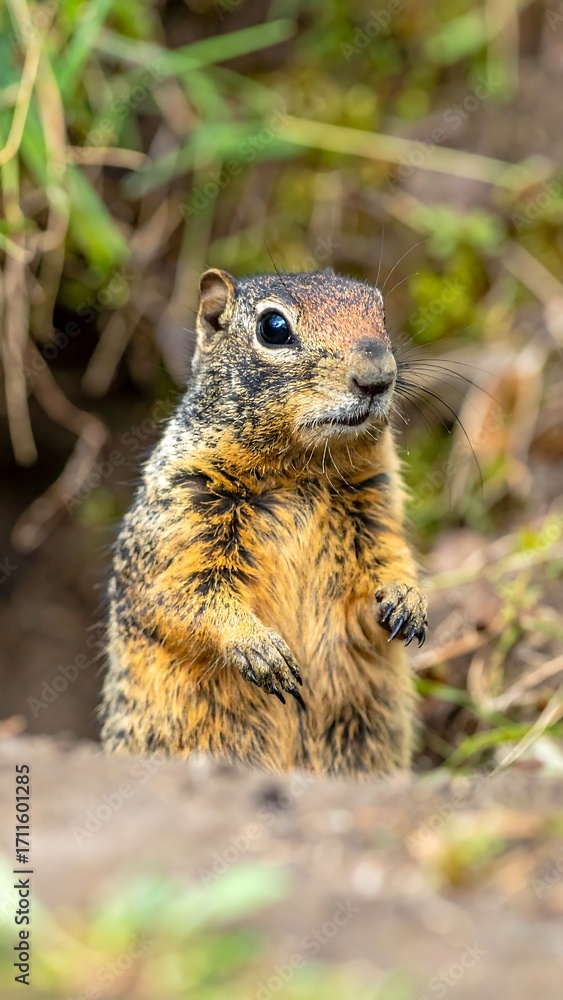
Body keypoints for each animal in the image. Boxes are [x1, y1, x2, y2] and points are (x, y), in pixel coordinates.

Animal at [101, 267, 428, 776]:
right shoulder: (183, 510)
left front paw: (406, 600)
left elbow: (384, 565)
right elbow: (184, 594)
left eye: (380, 311)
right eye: (273, 328)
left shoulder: (374, 512)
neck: (301, 474)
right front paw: (262, 649)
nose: (378, 377)